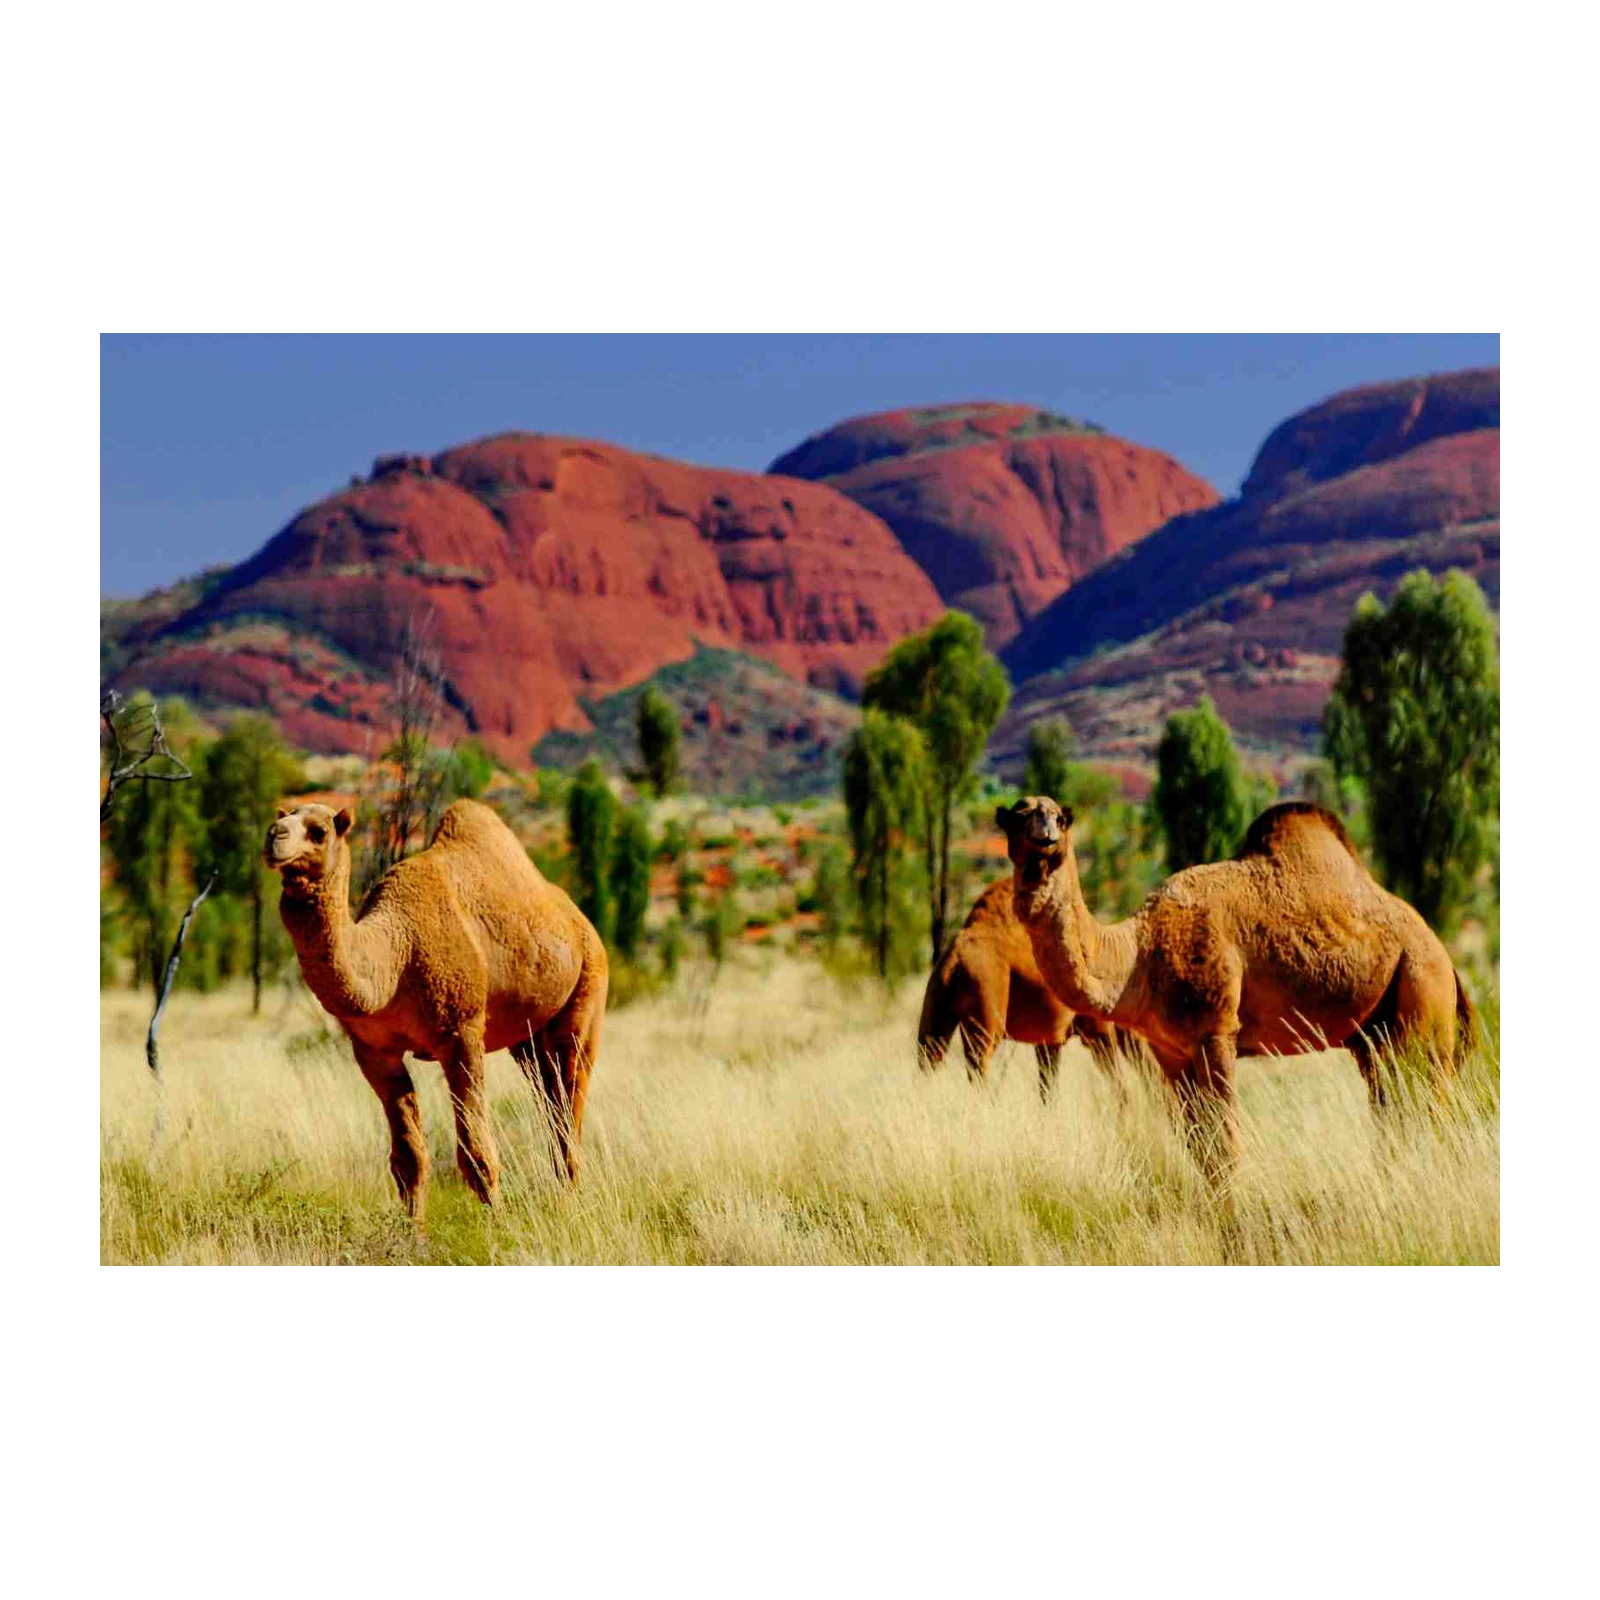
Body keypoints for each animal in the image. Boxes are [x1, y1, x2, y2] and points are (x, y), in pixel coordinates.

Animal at [265, 798, 608, 1220]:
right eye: (283, 818)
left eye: (319, 831)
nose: (274, 836)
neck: (395, 954)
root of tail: (580, 920)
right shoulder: (373, 1049)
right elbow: (408, 1158)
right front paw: (412, 1230)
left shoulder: (461, 1031)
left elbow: (476, 1152)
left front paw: (496, 1224)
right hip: (527, 1041)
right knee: (548, 1098)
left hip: (587, 994)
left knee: (568, 1101)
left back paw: (565, 1206)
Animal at [917, 876, 1130, 1102]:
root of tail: (954, 958)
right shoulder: (1098, 1028)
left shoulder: (1049, 1040)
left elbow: (1048, 1090)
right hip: (987, 1010)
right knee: (978, 1067)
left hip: (936, 1011)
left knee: (929, 1058)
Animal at [996, 797, 1478, 1188]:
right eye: (1018, 815)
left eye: (1059, 817)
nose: (1045, 835)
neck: (1137, 955)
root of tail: (1446, 957)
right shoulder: (1170, 1051)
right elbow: (1199, 1147)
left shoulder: (1216, 1032)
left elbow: (1225, 1144)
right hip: (1374, 1035)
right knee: (1392, 1109)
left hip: (1422, 994)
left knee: (1429, 1105)